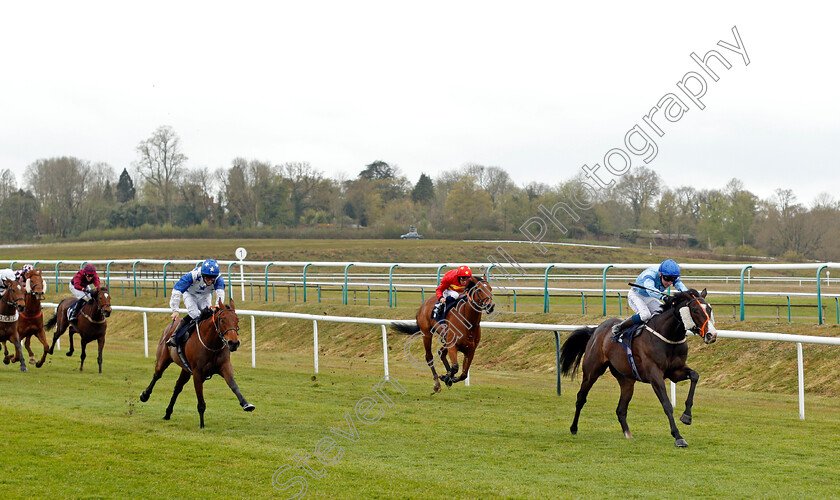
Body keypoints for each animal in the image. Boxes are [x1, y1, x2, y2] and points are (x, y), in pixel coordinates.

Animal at [139, 296, 253, 430]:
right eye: (222, 320)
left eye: (237, 320)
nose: (233, 343)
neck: (212, 344)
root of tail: (171, 325)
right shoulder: (198, 374)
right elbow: (201, 401)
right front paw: (202, 425)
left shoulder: (225, 367)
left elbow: (234, 385)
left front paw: (246, 404)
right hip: (163, 359)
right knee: (157, 375)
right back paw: (145, 395)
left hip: (186, 369)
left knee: (178, 387)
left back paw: (168, 413)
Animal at [560, 288, 720, 448]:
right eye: (695, 310)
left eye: (710, 309)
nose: (711, 335)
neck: (668, 336)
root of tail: (596, 329)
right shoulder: (655, 375)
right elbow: (667, 404)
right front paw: (678, 436)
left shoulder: (675, 371)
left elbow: (695, 376)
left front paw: (687, 416)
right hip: (592, 371)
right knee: (581, 398)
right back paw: (573, 428)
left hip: (626, 380)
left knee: (621, 409)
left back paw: (628, 434)